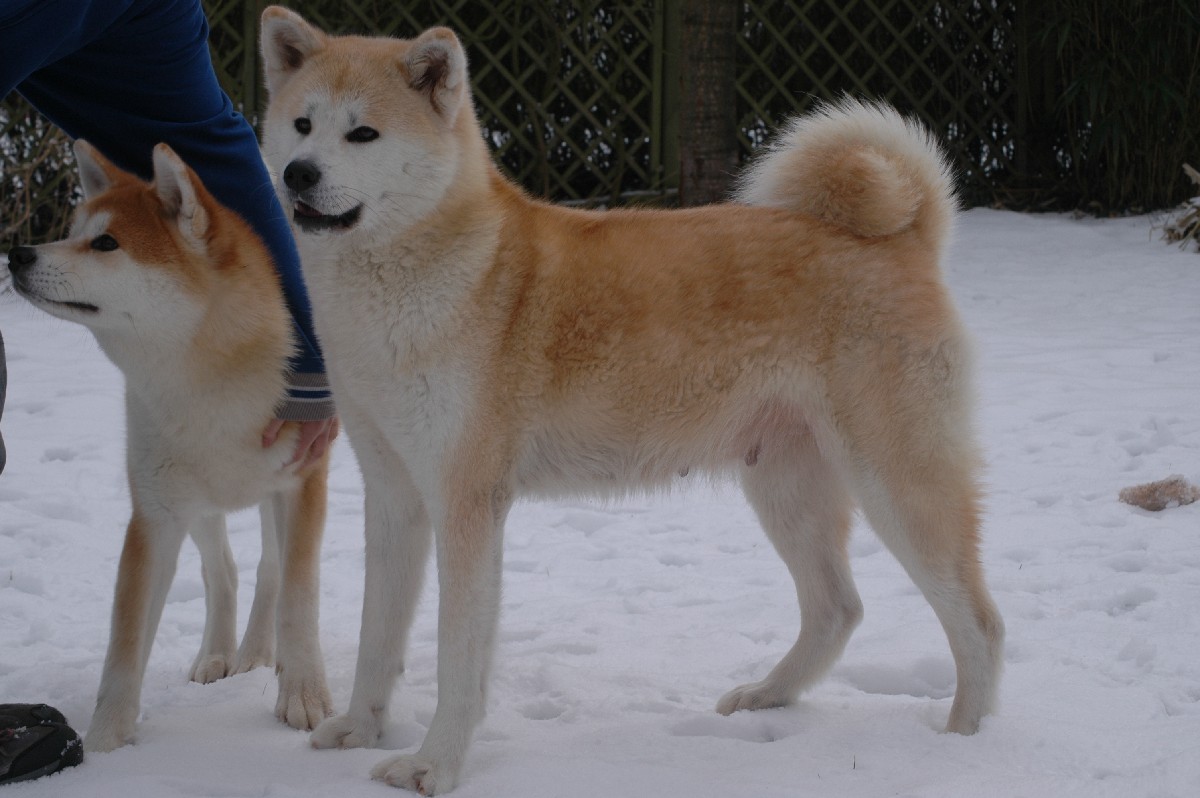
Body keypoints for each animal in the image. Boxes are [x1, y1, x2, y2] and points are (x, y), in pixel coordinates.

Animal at [6, 142, 334, 752]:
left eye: (106, 243)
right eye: (73, 232)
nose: (17, 254)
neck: (205, 389)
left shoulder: (302, 479)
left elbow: (298, 595)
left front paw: (302, 694)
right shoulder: (156, 513)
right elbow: (126, 642)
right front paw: (106, 743)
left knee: (270, 570)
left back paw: (260, 652)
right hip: (191, 498)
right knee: (222, 569)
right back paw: (219, 655)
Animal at [259, 7, 1005, 793]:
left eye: (363, 134)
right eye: (302, 124)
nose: (298, 174)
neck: (430, 277)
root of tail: (907, 238)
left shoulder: (466, 503)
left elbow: (457, 656)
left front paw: (436, 764)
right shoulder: (395, 495)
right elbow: (378, 636)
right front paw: (359, 729)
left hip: (897, 484)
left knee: (980, 623)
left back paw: (965, 739)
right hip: (783, 483)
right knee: (838, 607)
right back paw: (766, 695)